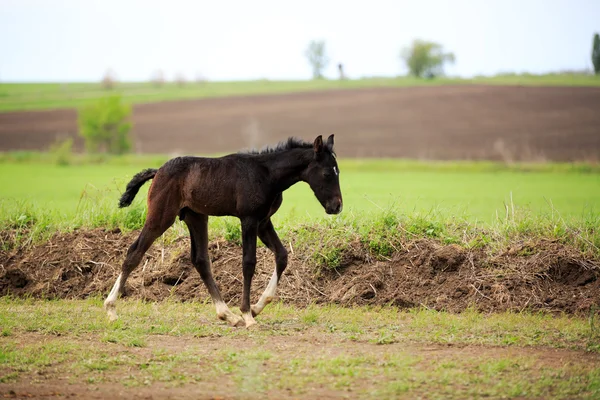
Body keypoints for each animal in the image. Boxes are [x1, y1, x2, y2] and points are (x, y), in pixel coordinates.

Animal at [104, 134, 342, 328]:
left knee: (200, 260)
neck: (267, 175)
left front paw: (257, 307)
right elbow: (248, 263)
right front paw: (247, 314)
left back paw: (227, 315)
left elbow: (282, 255)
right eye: (327, 173)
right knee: (134, 252)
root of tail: (158, 172)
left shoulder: (263, 222)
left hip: (196, 217)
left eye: (337, 171)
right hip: (161, 216)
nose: (337, 206)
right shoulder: (249, 220)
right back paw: (111, 309)